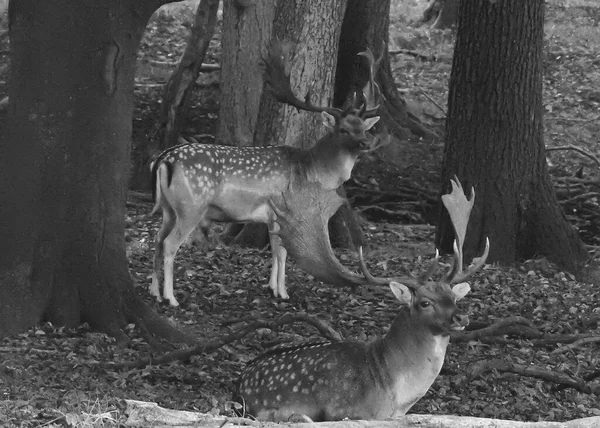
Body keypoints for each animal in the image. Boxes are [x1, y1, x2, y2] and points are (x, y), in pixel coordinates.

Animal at [149, 40, 380, 306]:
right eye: (343, 129)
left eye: (363, 127)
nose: (365, 143)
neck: (311, 167)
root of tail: (164, 160)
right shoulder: (287, 210)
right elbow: (282, 252)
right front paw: (283, 292)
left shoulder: (272, 217)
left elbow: (276, 252)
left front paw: (272, 287)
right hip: (192, 207)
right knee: (169, 244)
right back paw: (171, 298)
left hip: (169, 208)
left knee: (157, 239)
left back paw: (154, 292)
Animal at [232, 177, 490, 422]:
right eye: (425, 302)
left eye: (453, 297)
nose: (462, 317)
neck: (395, 395)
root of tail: (240, 380)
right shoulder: (344, 409)